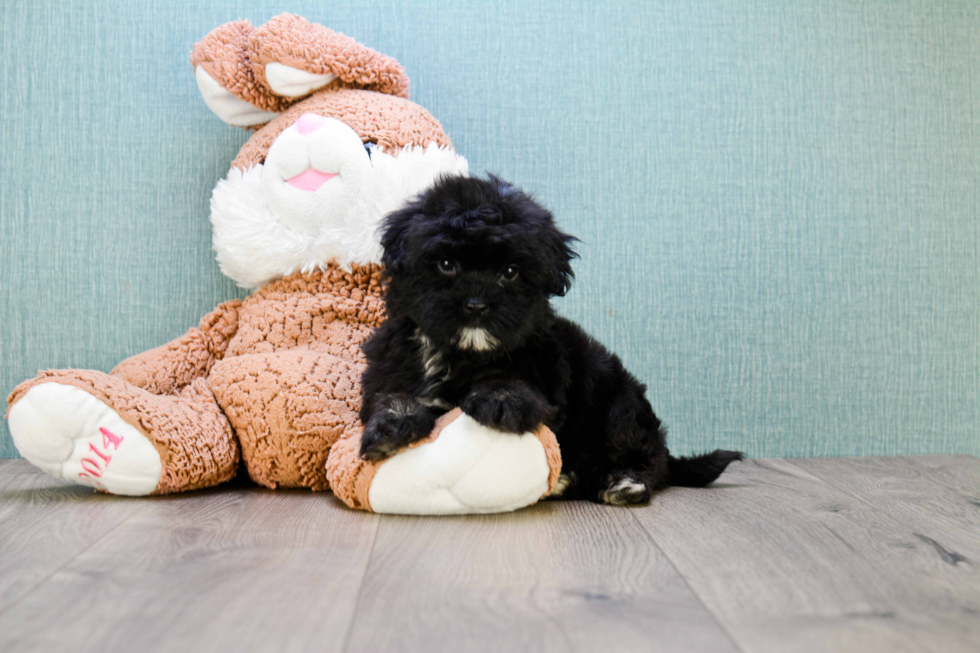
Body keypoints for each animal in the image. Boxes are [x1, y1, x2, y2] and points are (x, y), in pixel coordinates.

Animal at [360, 174, 744, 504]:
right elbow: (392, 395)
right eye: (445, 264)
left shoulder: (543, 368)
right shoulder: (392, 365)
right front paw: (392, 425)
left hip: (619, 402)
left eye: (510, 272)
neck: (463, 354)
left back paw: (624, 481)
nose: (476, 305)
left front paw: (502, 398)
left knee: (641, 453)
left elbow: (519, 384)